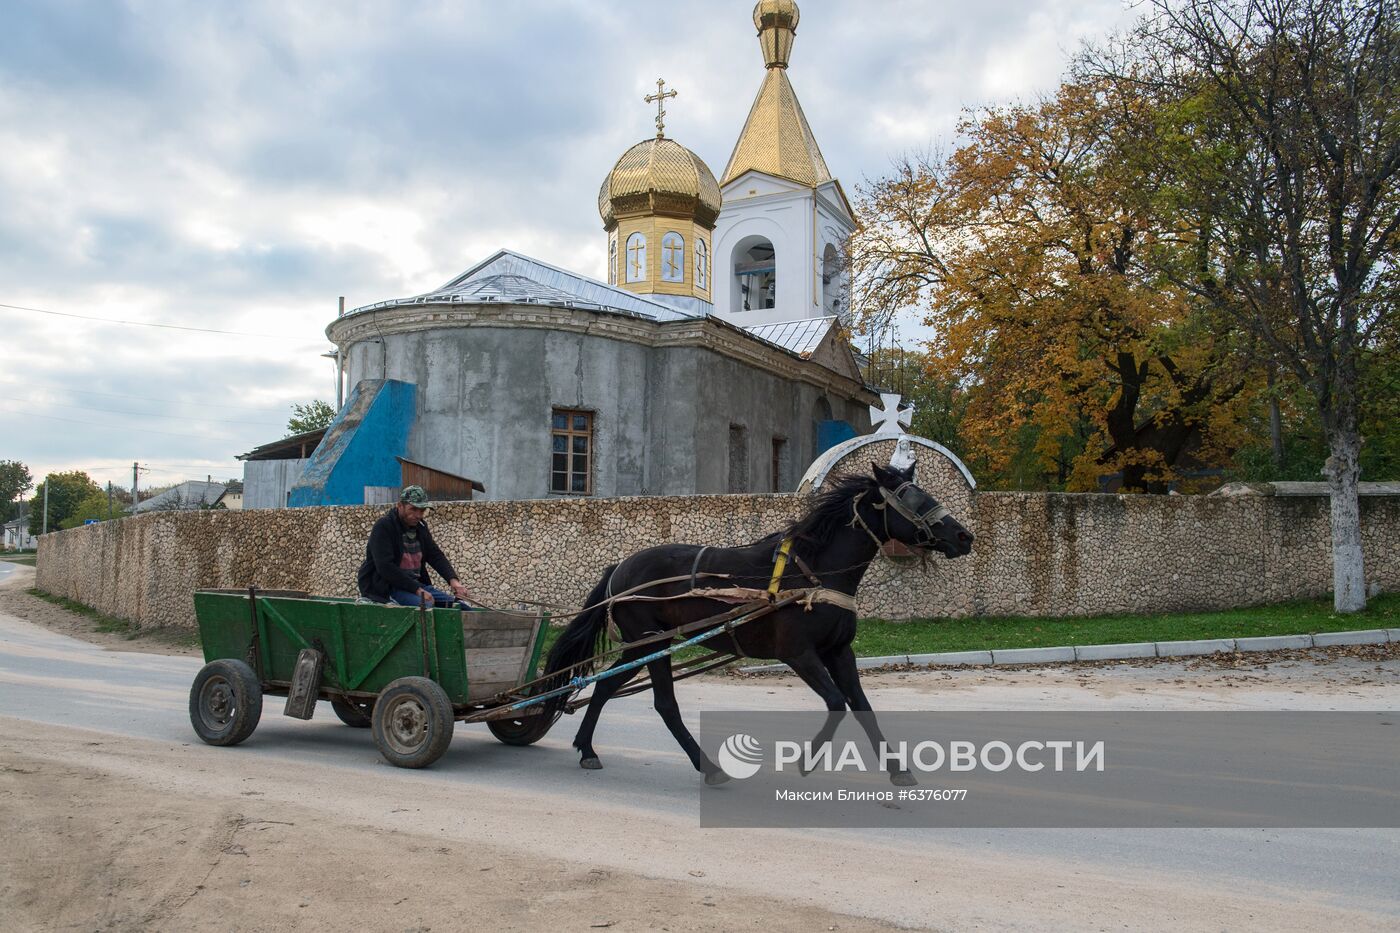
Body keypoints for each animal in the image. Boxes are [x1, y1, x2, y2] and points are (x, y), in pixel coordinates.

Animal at [540, 459, 980, 784]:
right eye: (912, 500)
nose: (964, 537)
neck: (813, 572)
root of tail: (620, 568)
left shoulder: (839, 651)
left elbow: (861, 706)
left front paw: (898, 770)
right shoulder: (798, 653)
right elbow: (836, 703)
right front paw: (805, 761)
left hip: (643, 645)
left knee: (603, 686)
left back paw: (588, 749)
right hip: (653, 643)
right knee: (664, 703)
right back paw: (708, 767)